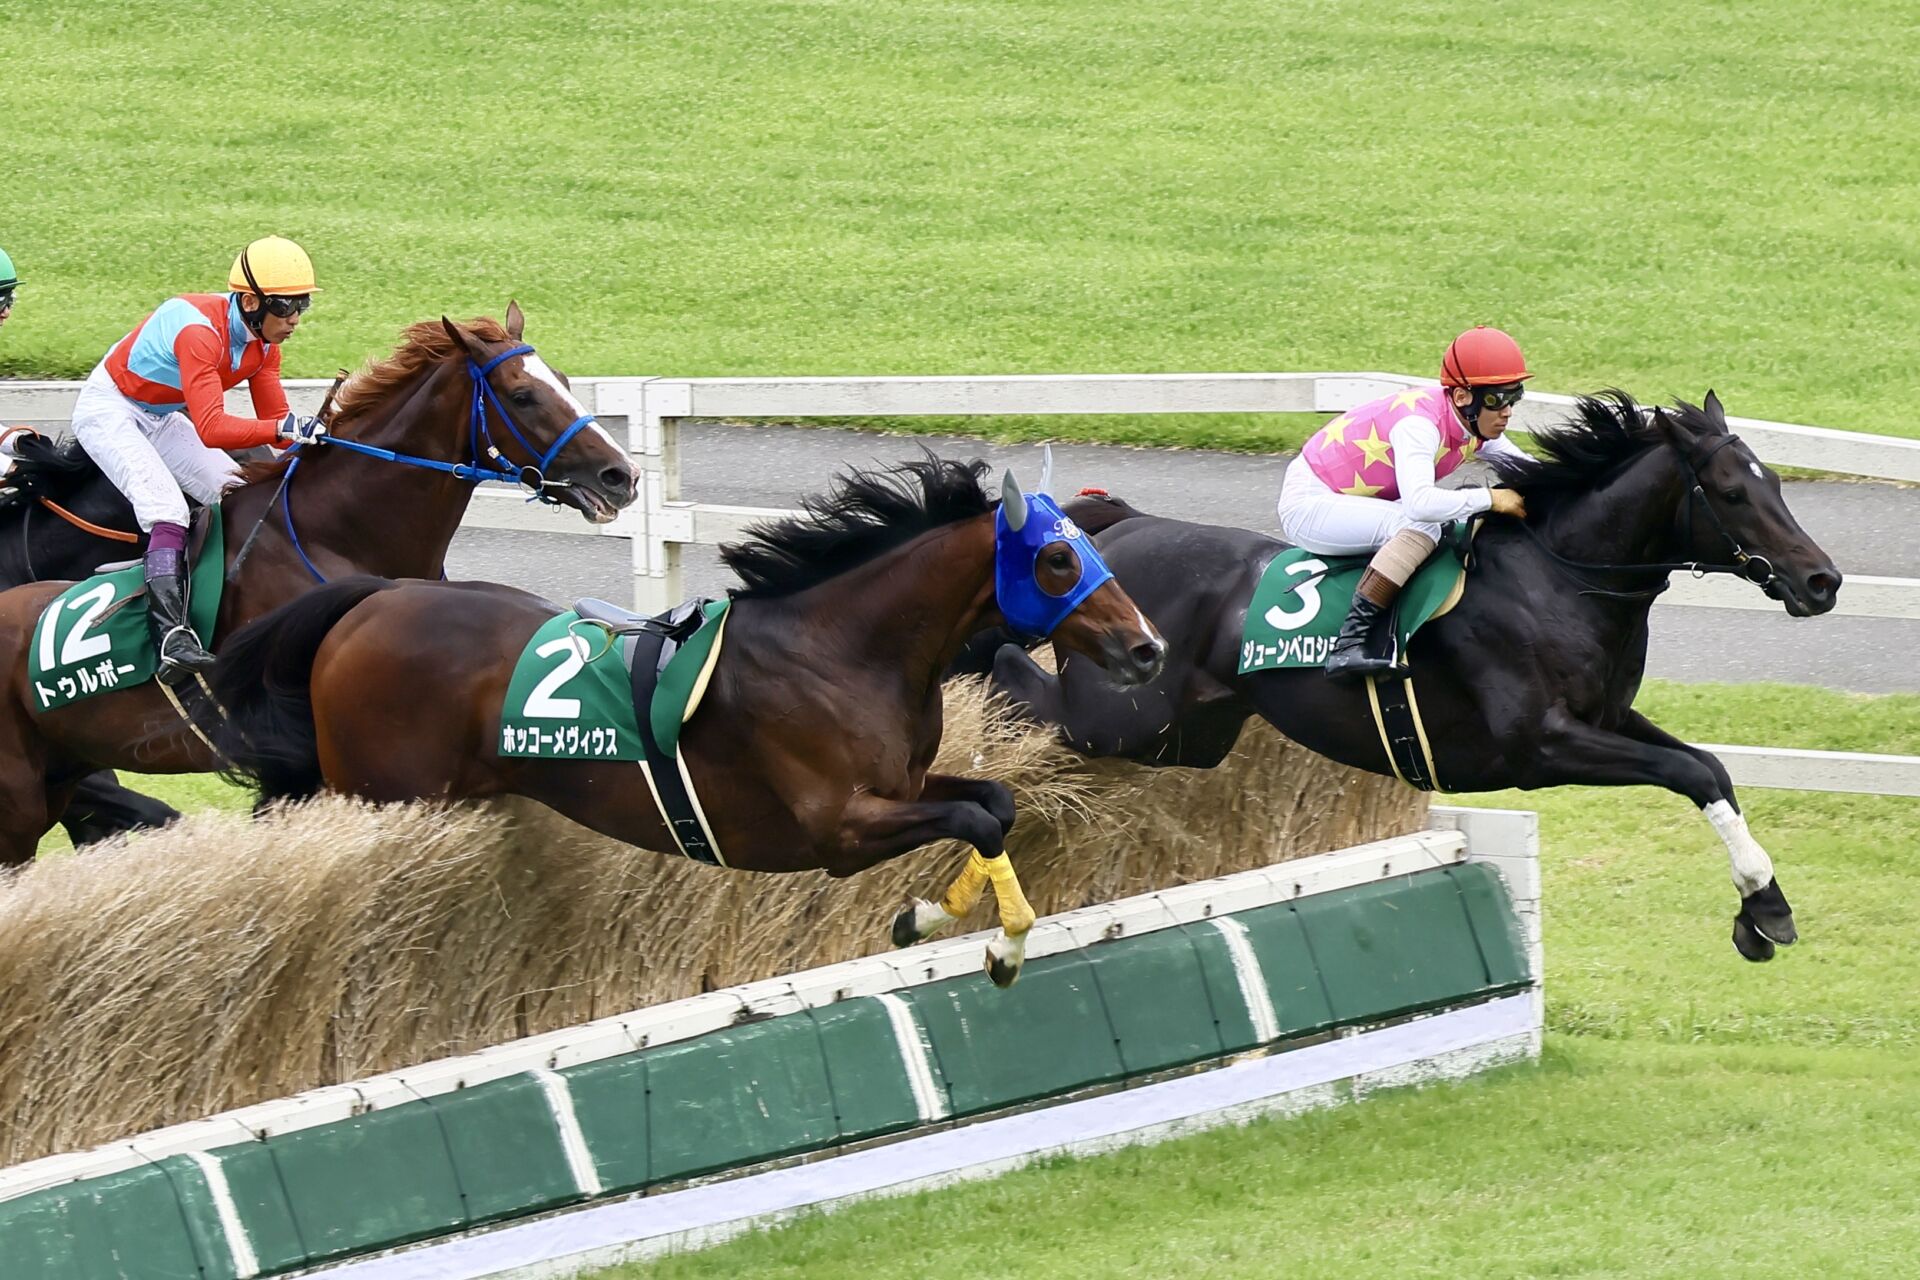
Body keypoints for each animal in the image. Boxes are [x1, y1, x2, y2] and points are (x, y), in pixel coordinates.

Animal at [210, 454, 1167, 990]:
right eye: (1056, 560)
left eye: (1089, 544)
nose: (1148, 647)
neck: (842, 648)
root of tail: (372, 599)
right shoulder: (837, 829)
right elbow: (976, 816)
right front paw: (986, 943)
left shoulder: (901, 783)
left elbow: (994, 802)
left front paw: (936, 920)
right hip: (385, 794)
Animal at [990, 391, 1843, 959]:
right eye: (1731, 492)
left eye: (1776, 483)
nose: (1822, 581)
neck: (1558, 576)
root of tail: (1119, 529)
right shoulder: (1541, 747)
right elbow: (1687, 773)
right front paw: (1763, 909)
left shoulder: (1605, 719)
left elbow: (1708, 769)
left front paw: (1762, 906)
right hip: (1121, 716)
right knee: (1012, 673)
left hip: (1187, 737)